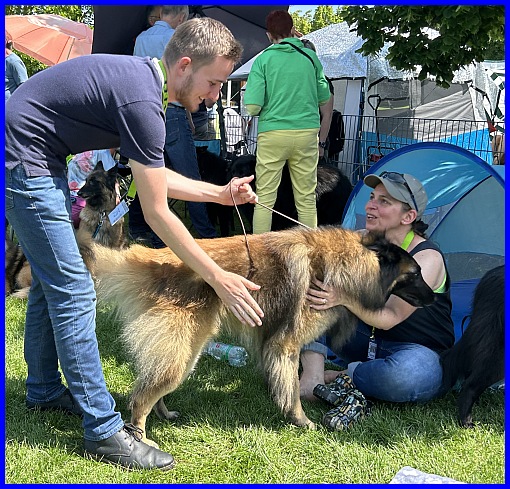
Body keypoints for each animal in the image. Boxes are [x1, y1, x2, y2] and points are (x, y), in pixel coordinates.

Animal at [77, 225, 435, 444]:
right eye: (415, 274)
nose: (435, 298)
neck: (349, 263)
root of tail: (152, 257)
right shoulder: (286, 344)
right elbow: (292, 390)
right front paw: (301, 421)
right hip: (184, 352)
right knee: (140, 397)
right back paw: (142, 439)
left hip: (185, 352)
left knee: (151, 385)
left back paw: (165, 414)